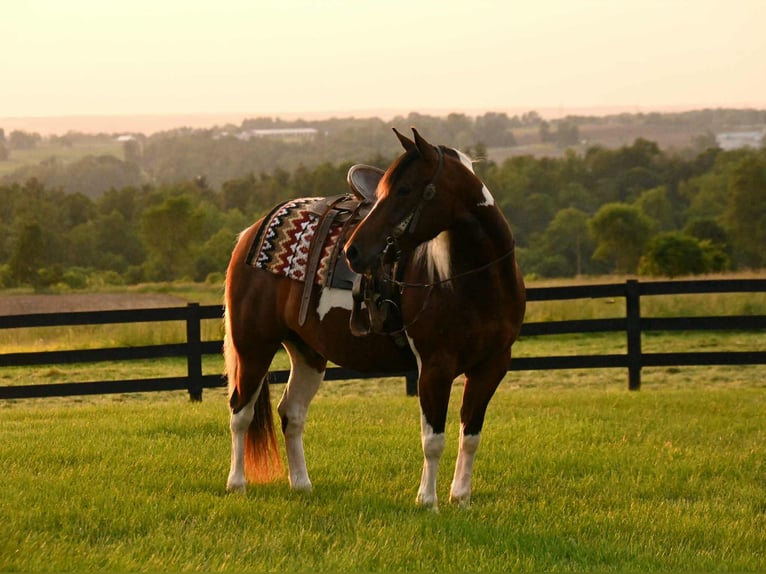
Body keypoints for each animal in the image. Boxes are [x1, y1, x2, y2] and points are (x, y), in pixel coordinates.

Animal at [224, 128, 525, 509]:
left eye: (405, 190)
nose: (352, 251)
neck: (474, 282)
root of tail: (251, 233)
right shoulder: (434, 368)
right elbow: (433, 439)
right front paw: (428, 501)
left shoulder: (492, 367)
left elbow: (470, 435)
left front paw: (461, 498)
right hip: (253, 347)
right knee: (241, 412)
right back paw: (237, 484)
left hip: (307, 353)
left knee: (291, 414)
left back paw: (302, 485)